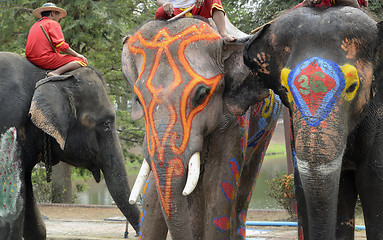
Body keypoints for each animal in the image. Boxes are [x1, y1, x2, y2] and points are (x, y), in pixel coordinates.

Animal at [122, 17, 282, 239]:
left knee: (242, 194)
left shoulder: (235, 122)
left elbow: (219, 189)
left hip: (267, 128)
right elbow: (152, 199)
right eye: (138, 99)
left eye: (202, 94)